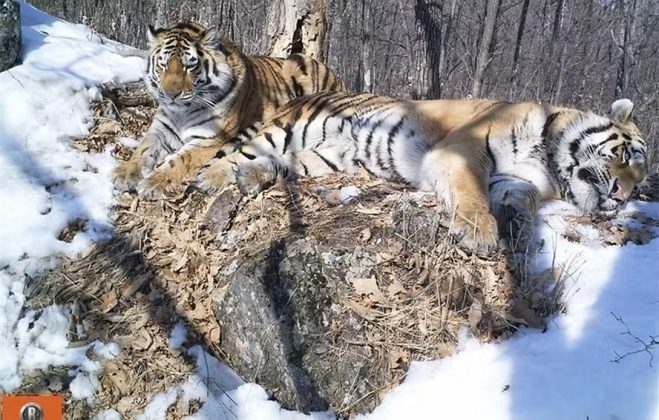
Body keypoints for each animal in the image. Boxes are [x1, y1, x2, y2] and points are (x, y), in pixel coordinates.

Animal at [114, 22, 348, 199]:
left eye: (190, 66)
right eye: (163, 64)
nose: (170, 94)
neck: (181, 112)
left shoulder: (208, 139)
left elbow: (178, 162)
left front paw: (152, 183)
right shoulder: (160, 130)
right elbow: (142, 149)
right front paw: (124, 174)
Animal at [191, 91, 648, 254]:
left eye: (642, 182)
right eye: (627, 157)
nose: (623, 197)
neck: (549, 160)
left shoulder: (516, 180)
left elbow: (522, 200)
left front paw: (517, 227)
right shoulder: (463, 150)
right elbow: (472, 194)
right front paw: (480, 234)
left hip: (325, 157)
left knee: (278, 165)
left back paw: (252, 178)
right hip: (289, 130)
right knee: (234, 154)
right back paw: (209, 180)